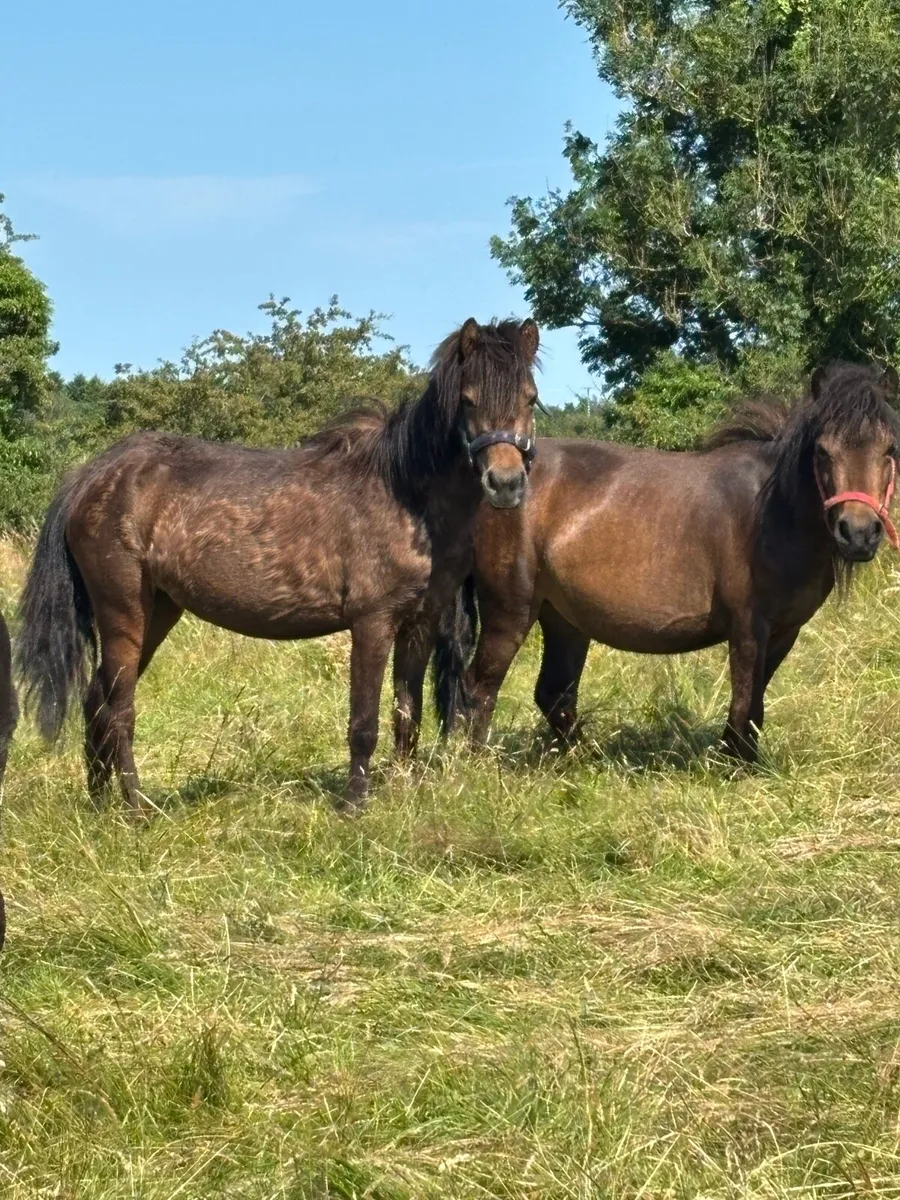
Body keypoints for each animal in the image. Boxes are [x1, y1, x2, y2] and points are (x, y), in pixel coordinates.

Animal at [16, 317, 541, 817]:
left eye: (531, 398)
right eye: (468, 400)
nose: (506, 483)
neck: (406, 494)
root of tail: (91, 475)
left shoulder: (420, 624)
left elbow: (405, 713)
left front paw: (405, 791)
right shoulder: (372, 624)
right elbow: (364, 722)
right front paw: (354, 805)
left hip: (157, 611)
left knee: (97, 702)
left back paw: (99, 804)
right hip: (123, 612)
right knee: (119, 710)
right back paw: (136, 809)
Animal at [433, 362, 899, 763]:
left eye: (889, 448)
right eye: (823, 451)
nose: (859, 532)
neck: (774, 511)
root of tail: (491, 485)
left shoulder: (784, 631)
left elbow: (755, 702)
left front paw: (739, 757)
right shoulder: (749, 627)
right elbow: (744, 700)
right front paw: (734, 765)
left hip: (564, 618)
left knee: (554, 694)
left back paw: (586, 759)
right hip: (511, 610)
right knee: (479, 688)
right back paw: (478, 766)